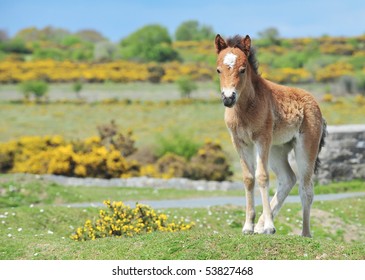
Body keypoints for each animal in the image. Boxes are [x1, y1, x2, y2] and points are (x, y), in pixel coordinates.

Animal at [213, 34, 324, 237]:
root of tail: (314, 102)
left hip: (305, 149)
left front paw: (270, 227)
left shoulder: (261, 139)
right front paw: (248, 226)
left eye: (242, 70)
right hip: (277, 150)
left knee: (306, 188)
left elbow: (262, 177)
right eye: (218, 70)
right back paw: (260, 226)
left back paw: (305, 233)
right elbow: (249, 178)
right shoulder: (240, 142)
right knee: (288, 179)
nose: (228, 98)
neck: (246, 108)